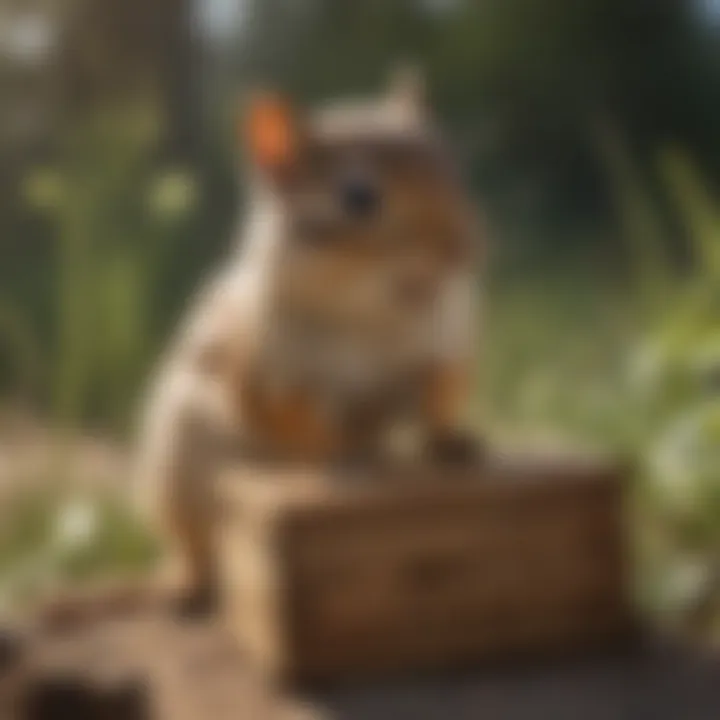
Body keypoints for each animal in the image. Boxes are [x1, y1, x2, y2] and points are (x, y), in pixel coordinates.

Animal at [133, 67, 486, 612]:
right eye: (358, 197)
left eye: (450, 165)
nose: (462, 250)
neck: (372, 314)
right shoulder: (264, 370)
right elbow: (293, 422)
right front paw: (338, 457)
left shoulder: (443, 347)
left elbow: (440, 398)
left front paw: (453, 444)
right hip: (178, 467)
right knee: (194, 546)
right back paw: (185, 583)